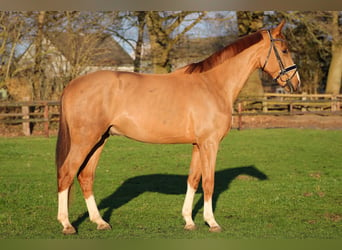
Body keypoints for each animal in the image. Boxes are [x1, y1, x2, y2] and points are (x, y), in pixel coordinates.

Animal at [55, 20, 300, 234]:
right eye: (285, 49)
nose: (296, 83)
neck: (213, 85)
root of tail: (72, 84)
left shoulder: (197, 145)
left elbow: (193, 180)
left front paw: (189, 221)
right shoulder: (210, 144)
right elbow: (209, 182)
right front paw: (212, 223)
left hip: (99, 140)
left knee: (85, 177)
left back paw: (100, 222)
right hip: (85, 140)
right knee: (66, 174)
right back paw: (67, 225)